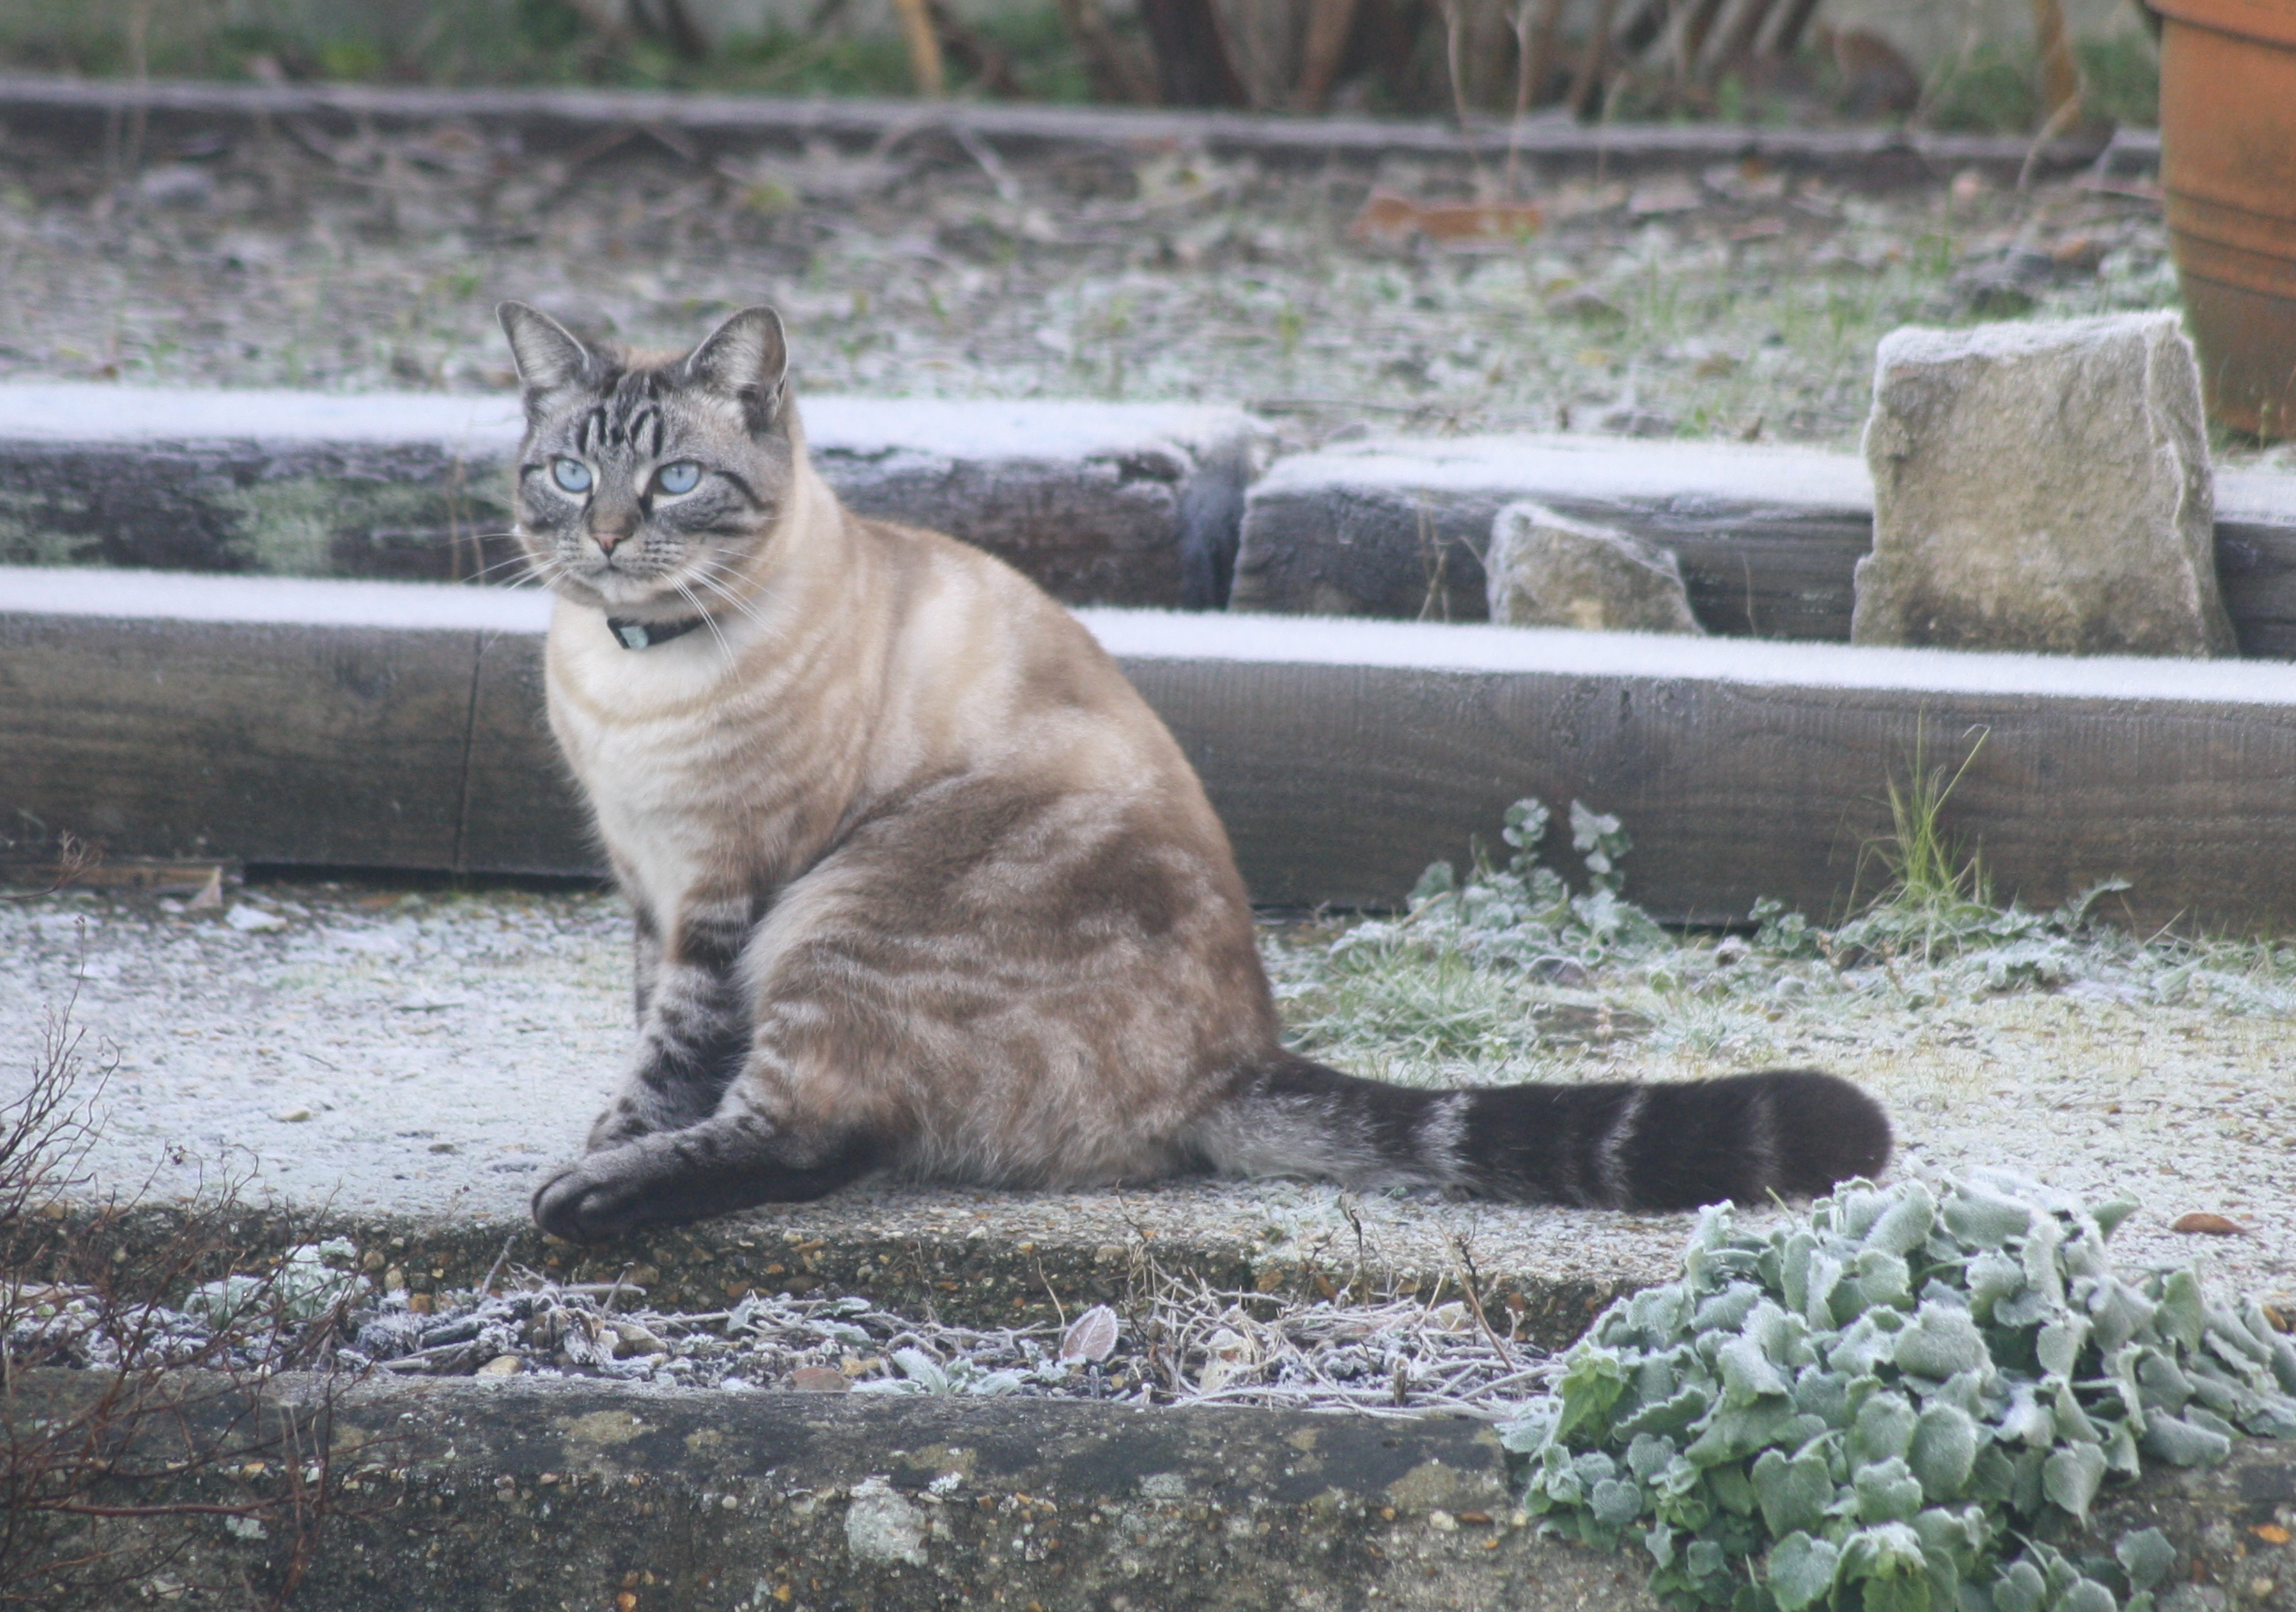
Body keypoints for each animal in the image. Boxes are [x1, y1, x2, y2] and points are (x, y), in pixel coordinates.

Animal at [498, 300, 1882, 1249]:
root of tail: (1237, 1060)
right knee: (844, 1138)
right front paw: (619, 1118)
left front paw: (616, 1139)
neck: (632, 672)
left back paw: (590, 1197)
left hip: (838, 918)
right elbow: (651, 1025)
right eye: (571, 473)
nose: (607, 535)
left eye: (674, 480)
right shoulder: (645, 884)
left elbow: (677, 1050)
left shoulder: (725, 893)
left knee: (802, 1132)